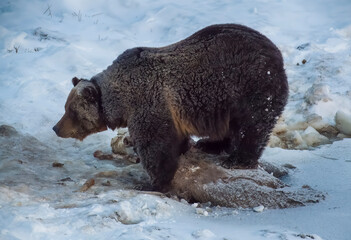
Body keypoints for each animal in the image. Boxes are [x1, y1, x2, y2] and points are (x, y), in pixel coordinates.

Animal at [52, 23, 288, 191]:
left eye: (70, 111)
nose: (56, 127)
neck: (119, 100)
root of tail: (277, 53)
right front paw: (183, 148)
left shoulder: (148, 103)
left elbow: (156, 145)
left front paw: (153, 183)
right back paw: (209, 144)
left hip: (247, 85)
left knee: (252, 125)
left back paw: (237, 159)